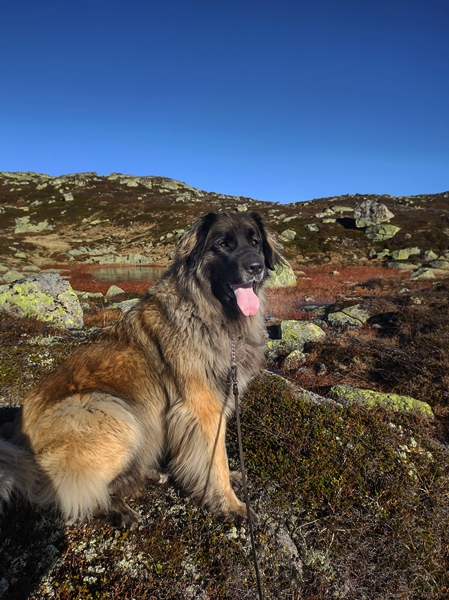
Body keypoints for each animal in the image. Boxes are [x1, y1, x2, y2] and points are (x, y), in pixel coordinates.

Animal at [0, 211, 280, 524]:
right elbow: (214, 458)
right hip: (111, 411)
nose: (255, 266)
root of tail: (16, 438)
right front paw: (231, 505)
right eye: (223, 244)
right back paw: (118, 508)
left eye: (255, 242)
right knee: (70, 491)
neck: (208, 313)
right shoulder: (203, 408)